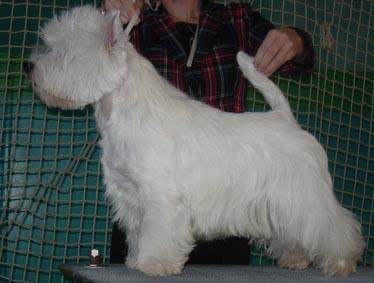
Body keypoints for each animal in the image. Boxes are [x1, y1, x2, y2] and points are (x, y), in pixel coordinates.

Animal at [27, 5, 366, 278]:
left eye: (61, 50)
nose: (29, 66)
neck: (121, 108)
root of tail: (286, 118)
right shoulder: (130, 193)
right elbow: (138, 231)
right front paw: (135, 260)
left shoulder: (160, 195)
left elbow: (158, 232)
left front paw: (154, 264)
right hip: (282, 202)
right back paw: (295, 259)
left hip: (305, 194)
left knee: (335, 226)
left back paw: (341, 263)